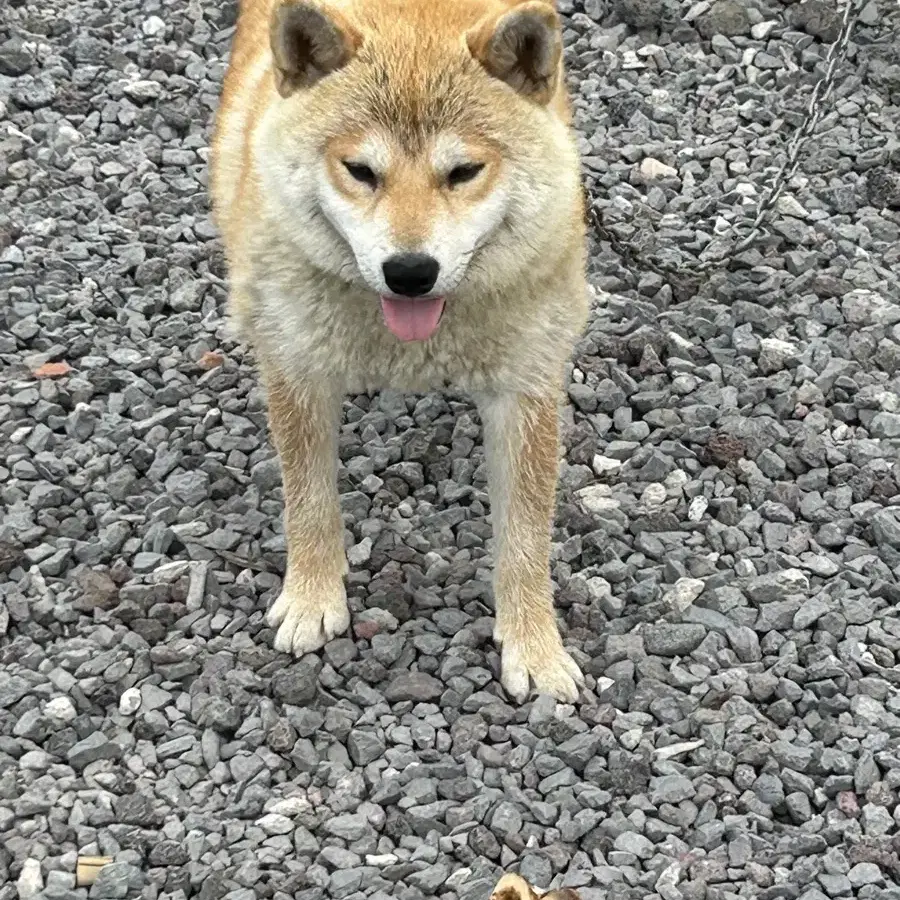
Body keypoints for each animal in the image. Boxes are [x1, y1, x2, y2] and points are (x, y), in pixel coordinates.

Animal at [211, 0, 592, 700]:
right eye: (360, 171)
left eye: (463, 172)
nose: (410, 271)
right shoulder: (299, 371)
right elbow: (309, 503)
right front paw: (312, 598)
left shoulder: (525, 391)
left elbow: (526, 540)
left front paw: (534, 647)